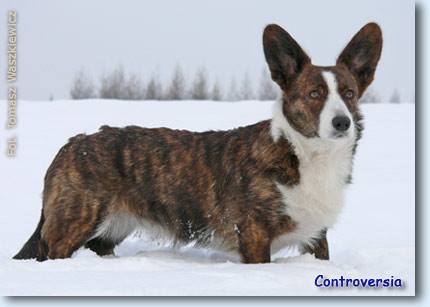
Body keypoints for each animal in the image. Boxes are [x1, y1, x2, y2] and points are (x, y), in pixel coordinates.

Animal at [14, 22, 382, 264]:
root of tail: (71, 143)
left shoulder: (316, 238)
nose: (342, 123)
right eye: (314, 94)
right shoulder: (255, 236)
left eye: (349, 94)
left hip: (111, 229)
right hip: (74, 223)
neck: (305, 154)